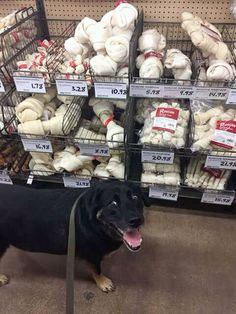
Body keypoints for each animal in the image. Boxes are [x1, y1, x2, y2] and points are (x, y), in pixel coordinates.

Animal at [0, 182, 148, 292]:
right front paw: (102, 282)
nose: (136, 220)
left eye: (135, 197)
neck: (95, 223)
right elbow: (97, 270)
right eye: (113, 203)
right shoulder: (92, 255)